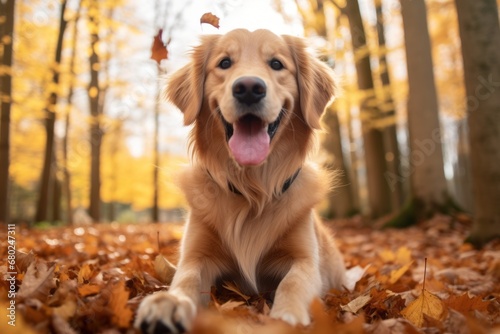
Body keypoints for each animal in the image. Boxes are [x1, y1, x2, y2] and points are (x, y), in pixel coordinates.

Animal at [137, 29, 348, 334]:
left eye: (276, 64)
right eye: (224, 63)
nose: (249, 88)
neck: (252, 191)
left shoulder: (306, 260)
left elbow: (293, 282)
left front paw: (286, 317)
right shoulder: (196, 256)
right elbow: (185, 278)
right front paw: (169, 302)